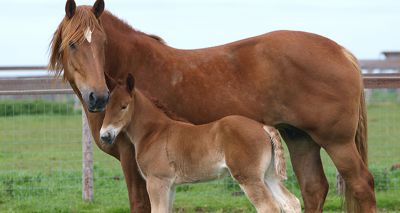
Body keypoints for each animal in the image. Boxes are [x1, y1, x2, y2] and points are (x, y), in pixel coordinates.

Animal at [100, 74, 300, 212]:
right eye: (106, 106)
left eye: (124, 106)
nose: (105, 136)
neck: (154, 132)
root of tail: (263, 127)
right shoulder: (170, 185)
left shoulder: (157, 182)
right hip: (268, 176)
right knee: (291, 202)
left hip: (249, 178)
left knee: (269, 207)